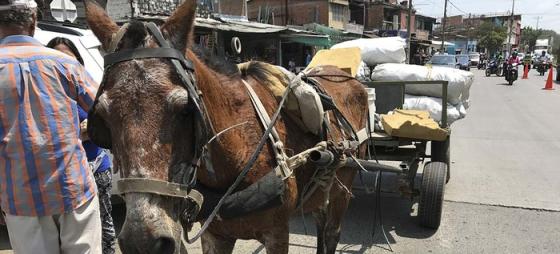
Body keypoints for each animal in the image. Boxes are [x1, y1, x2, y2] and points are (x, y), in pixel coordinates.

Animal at [84, 0, 368, 253]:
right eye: (103, 116)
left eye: (185, 109)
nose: (142, 241)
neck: (239, 149)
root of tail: (342, 75)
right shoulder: (215, 236)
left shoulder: (277, 233)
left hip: (344, 185)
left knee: (331, 232)